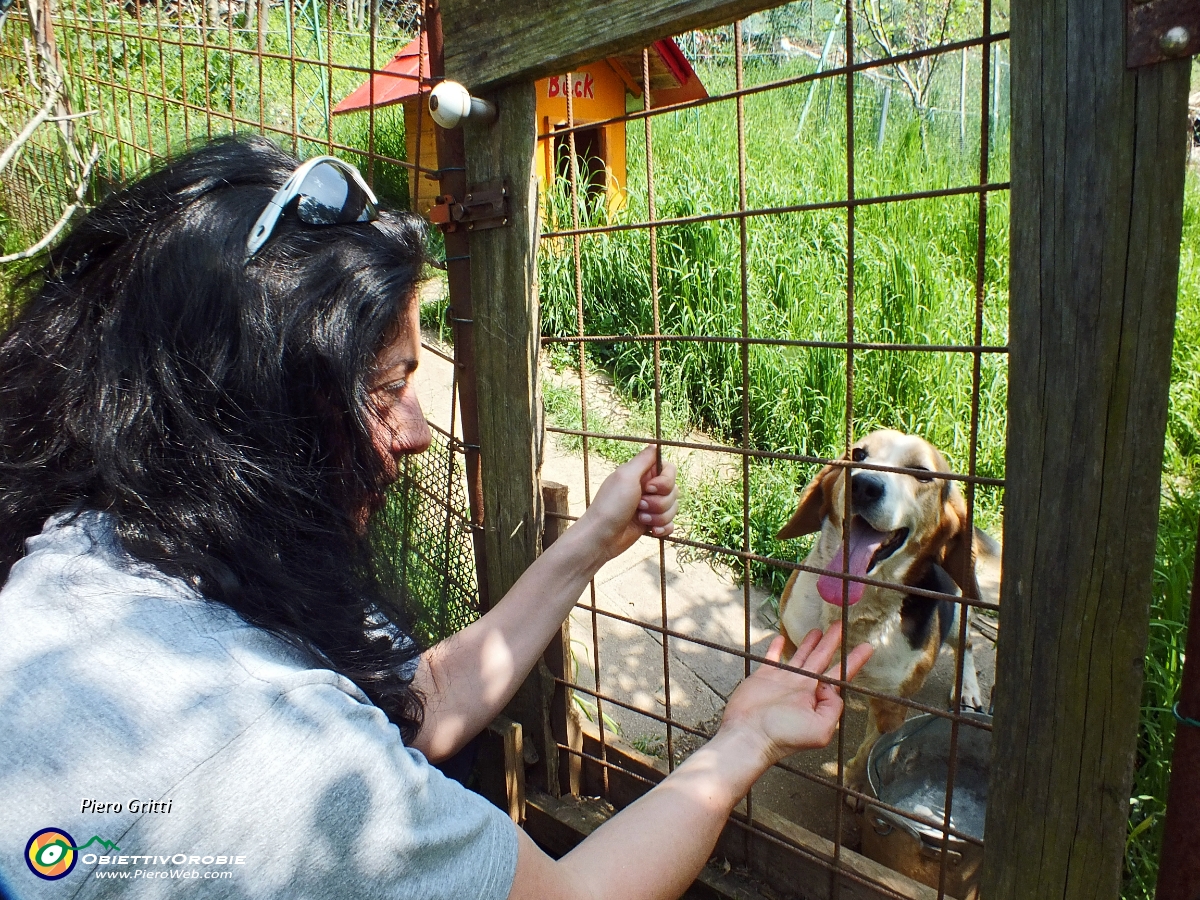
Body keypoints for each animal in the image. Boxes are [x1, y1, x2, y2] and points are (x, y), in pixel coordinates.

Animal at [772, 434, 998, 792]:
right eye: (857, 454)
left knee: (967, 643)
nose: (864, 485)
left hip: (958, 613)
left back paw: (968, 689)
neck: (853, 611)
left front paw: (853, 783)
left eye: (922, 474)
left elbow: (870, 748)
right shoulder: (792, 640)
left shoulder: (892, 704)